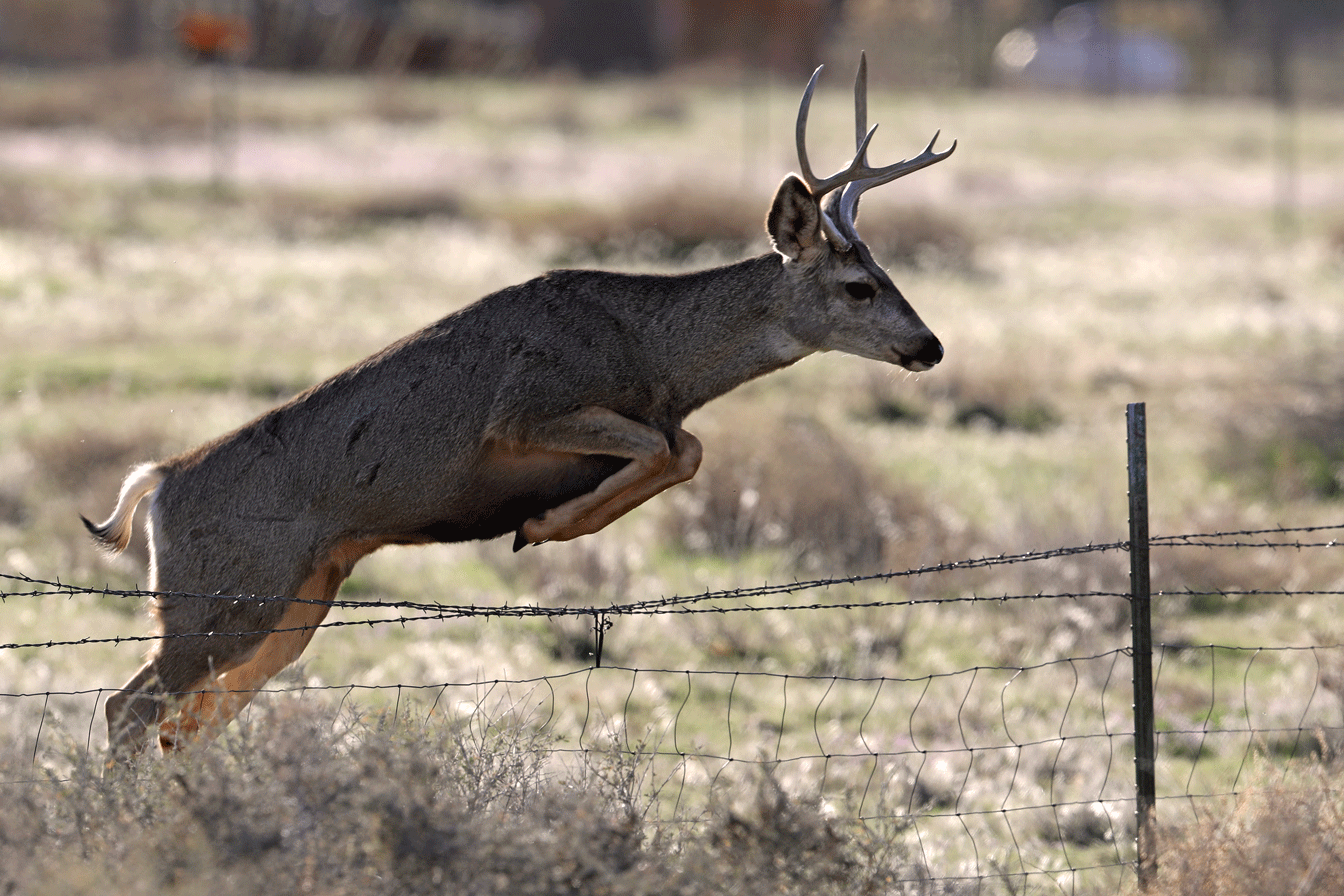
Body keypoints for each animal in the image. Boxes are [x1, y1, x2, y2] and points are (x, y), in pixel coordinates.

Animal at [86, 54, 956, 763]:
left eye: (888, 274)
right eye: (860, 287)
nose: (930, 345)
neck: (650, 355)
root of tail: (160, 483)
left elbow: (685, 447)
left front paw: (547, 520)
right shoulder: (525, 410)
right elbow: (673, 447)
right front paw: (540, 523)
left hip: (298, 598)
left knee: (183, 721)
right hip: (226, 594)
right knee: (130, 708)